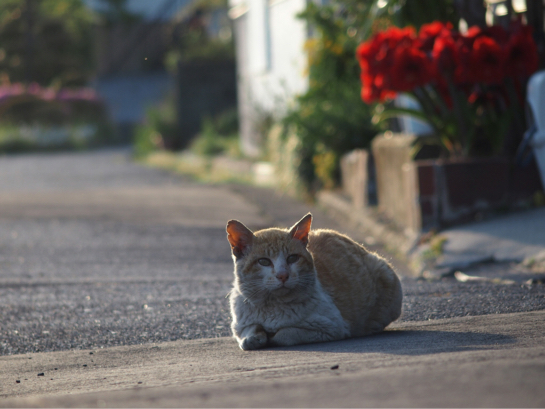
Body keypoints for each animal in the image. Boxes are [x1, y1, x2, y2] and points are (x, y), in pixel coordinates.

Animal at [226, 212, 404, 350]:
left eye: (292, 258)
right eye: (263, 261)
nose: (283, 275)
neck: (272, 306)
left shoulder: (329, 327)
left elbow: (285, 333)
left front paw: (272, 336)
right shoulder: (240, 325)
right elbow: (250, 330)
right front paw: (253, 338)